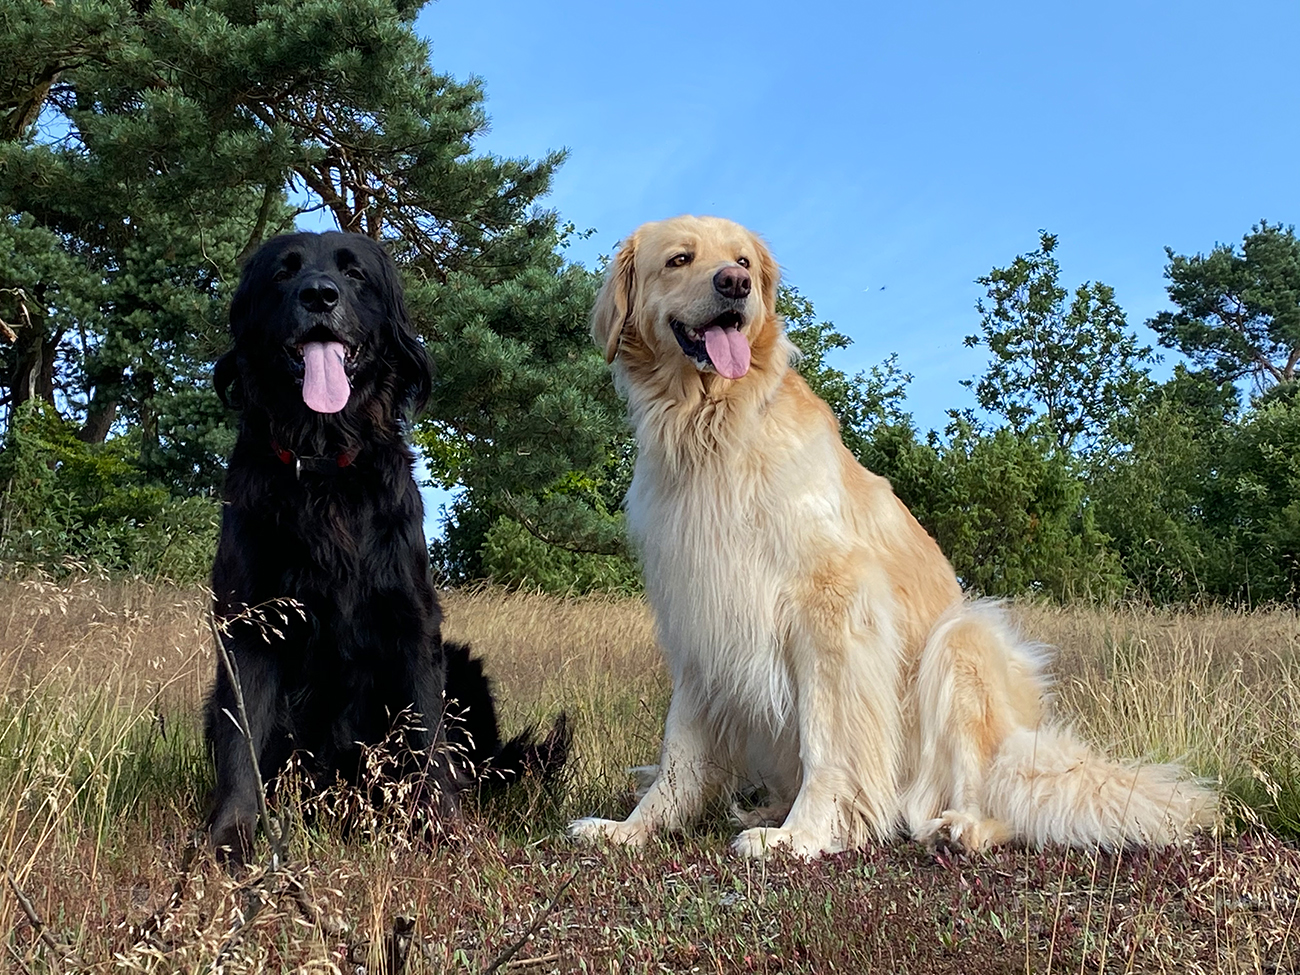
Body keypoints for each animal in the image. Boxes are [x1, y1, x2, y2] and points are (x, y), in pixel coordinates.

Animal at [207, 231, 566, 866]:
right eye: (283, 273)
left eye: (355, 275)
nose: (319, 295)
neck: (324, 464)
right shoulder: (248, 621)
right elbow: (241, 736)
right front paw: (233, 834)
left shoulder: (412, 620)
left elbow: (427, 734)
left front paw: (442, 825)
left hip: (463, 666)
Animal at [569, 215, 1214, 858]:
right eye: (680, 259)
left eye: (743, 261)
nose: (734, 284)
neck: (713, 429)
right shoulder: (700, 623)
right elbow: (678, 752)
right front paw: (632, 829)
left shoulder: (834, 613)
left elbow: (828, 742)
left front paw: (802, 834)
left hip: (962, 642)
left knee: (993, 793)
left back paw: (960, 826)